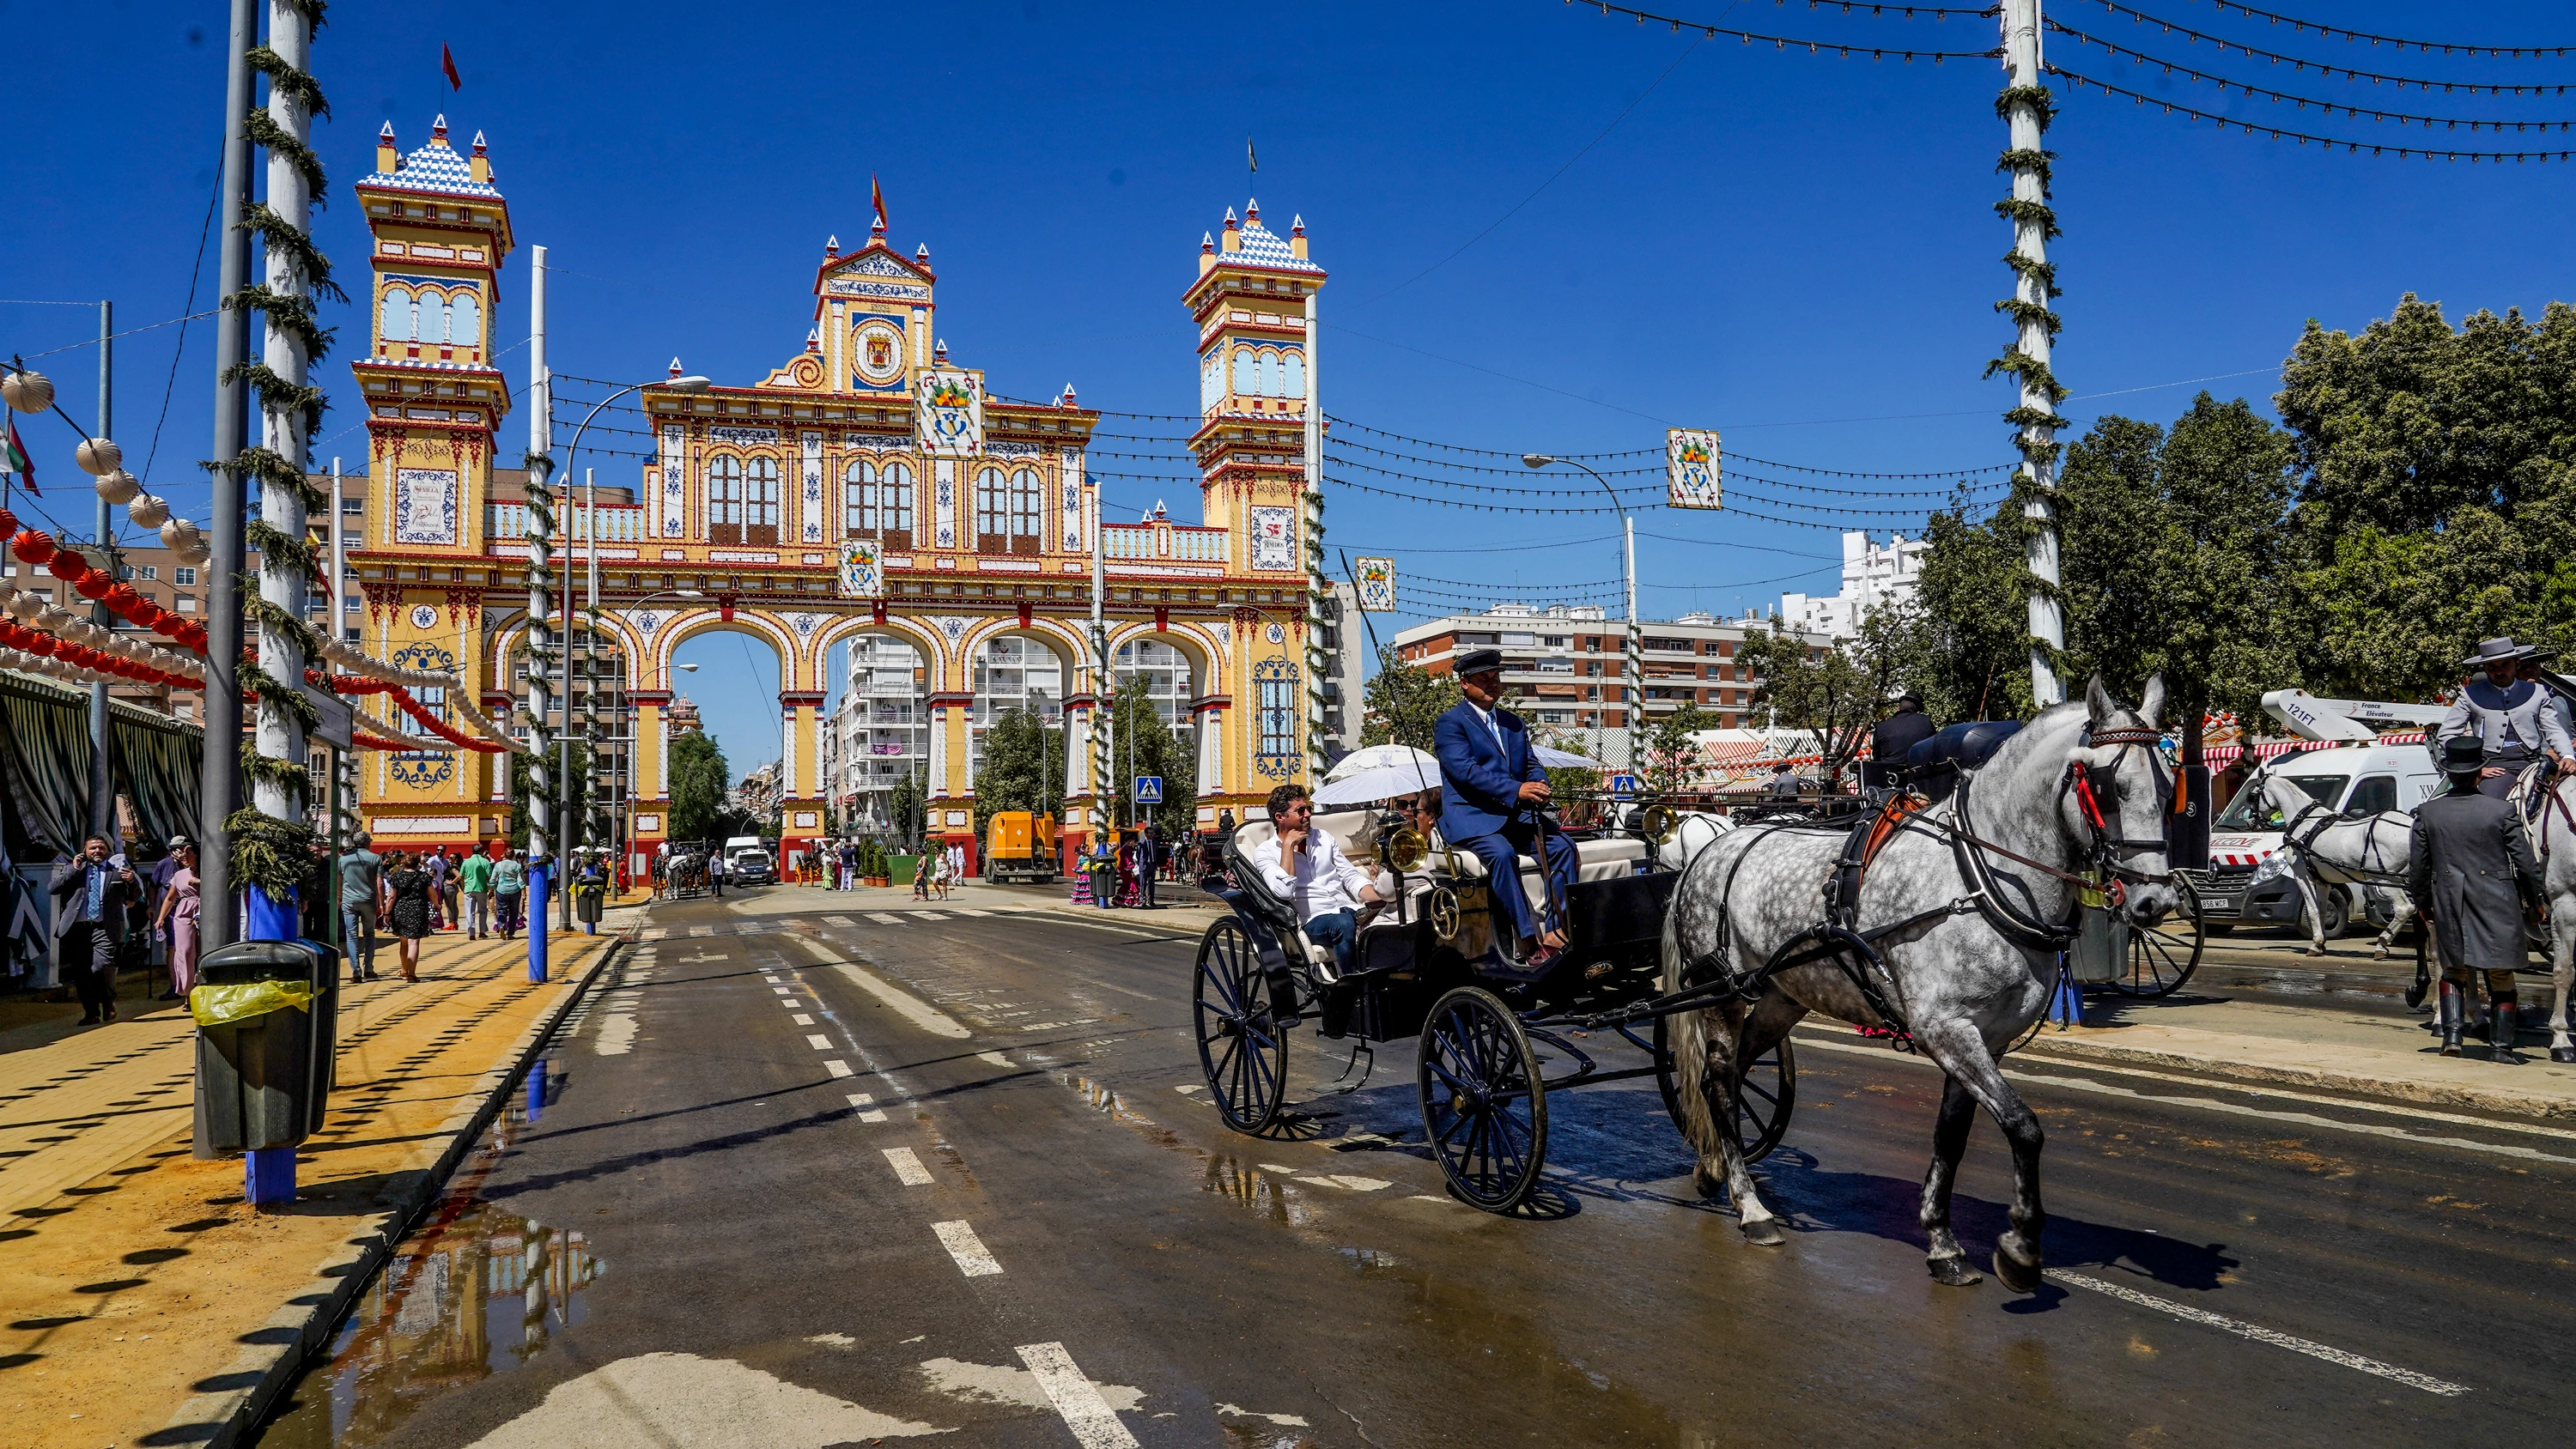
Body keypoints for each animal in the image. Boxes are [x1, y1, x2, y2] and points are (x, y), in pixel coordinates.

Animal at [1659, 679, 2184, 1292]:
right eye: (2108, 786)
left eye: (2168, 787)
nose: (2156, 901)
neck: (1979, 880)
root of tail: (1706, 851)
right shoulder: (1945, 1029)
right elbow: (2024, 1127)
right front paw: (2021, 1248)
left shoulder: (1986, 1039)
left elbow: (1952, 1136)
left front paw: (1942, 1240)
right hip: (1719, 996)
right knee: (1719, 1084)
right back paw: (1750, 1207)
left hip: (1776, 1000)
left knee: (1729, 1076)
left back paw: (1713, 1168)